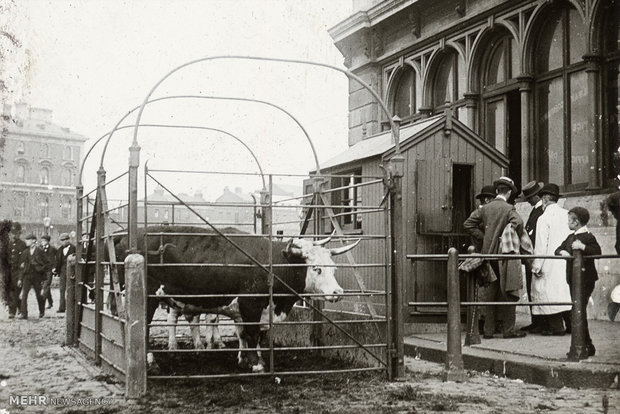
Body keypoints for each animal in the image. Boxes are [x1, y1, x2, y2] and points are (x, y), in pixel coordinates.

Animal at [109, 225, 356, 374]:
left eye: (333, 267)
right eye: (316, 269)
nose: (338, 293)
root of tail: (126, 236)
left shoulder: (248, 310)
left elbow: (246, 335)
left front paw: (246, 359)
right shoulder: (251, 305)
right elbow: (253, 334)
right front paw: (256, 365)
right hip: (145, 299)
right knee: (142, 328)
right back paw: (150, 361)